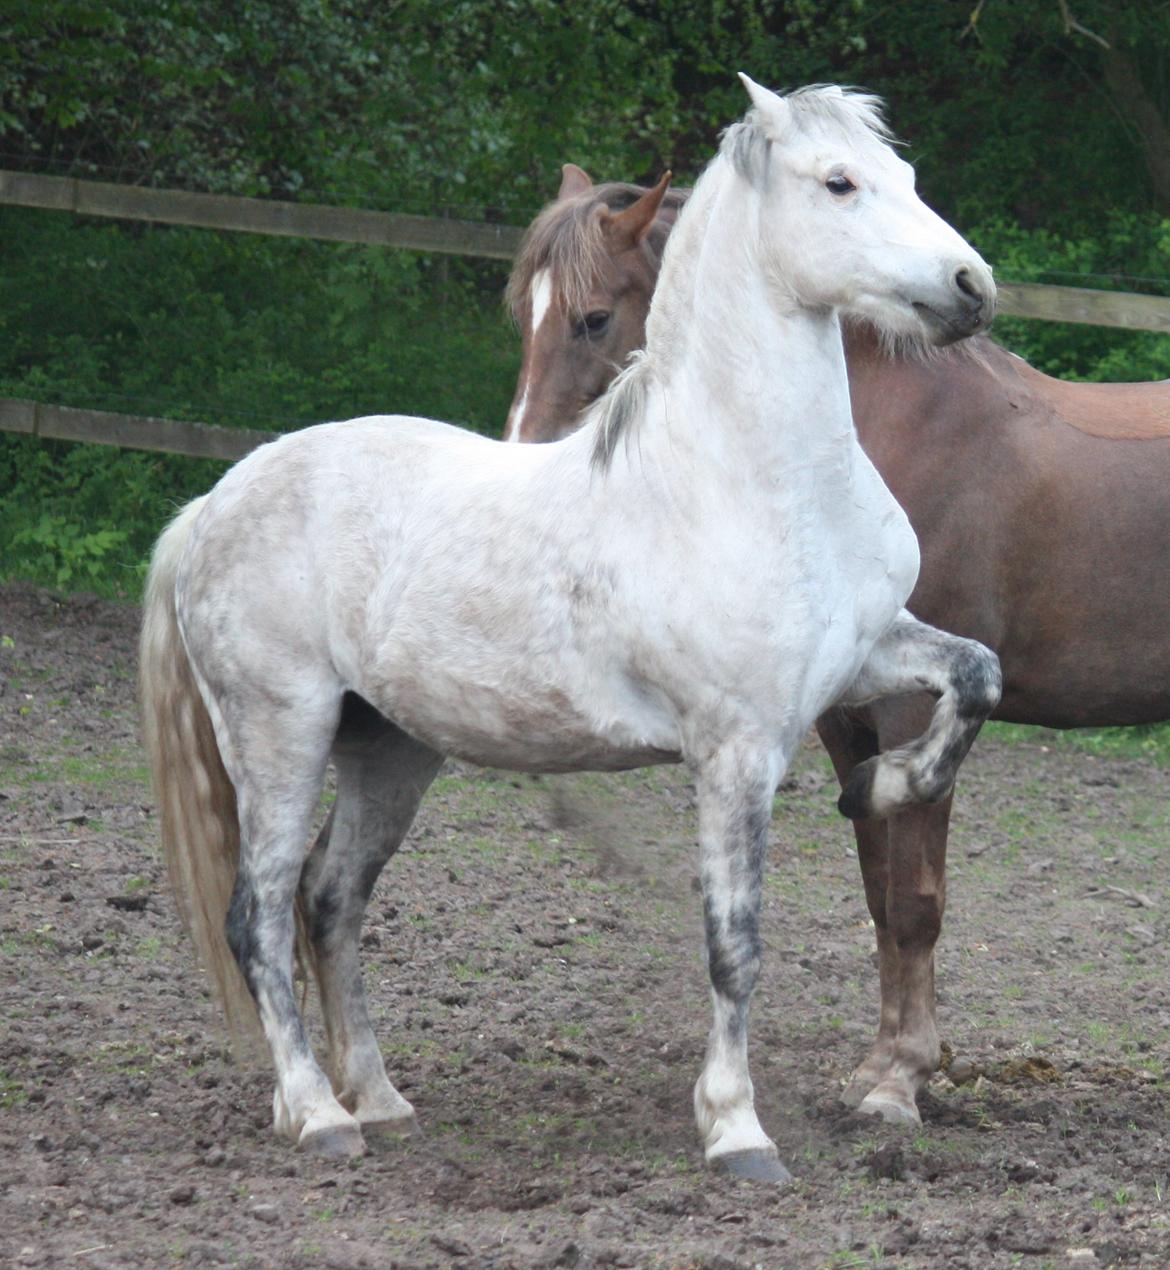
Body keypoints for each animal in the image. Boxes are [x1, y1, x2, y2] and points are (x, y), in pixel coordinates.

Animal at [137, 76, 995, 1178]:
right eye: (839, 181)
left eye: (908, 174)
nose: (971, 286)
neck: (748, 479)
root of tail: (213, 502)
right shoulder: (736, 750)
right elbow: (735, 943)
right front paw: (736, 1131)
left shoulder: (868, 655)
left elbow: (975, 677)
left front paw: (881, 785)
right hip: (278, 733)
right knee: (259, 915)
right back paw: (319, 1114)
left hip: (391, 747)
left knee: (330, 898)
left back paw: (377, 1097)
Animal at [505, 163, 1170, 1127]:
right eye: (520, 313)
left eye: (593, 317)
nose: (522, 455)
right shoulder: (846, 716)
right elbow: (877, 893)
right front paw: (880, 1065)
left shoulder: (912, 709)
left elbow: (915, 901)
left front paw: (900, 1082)